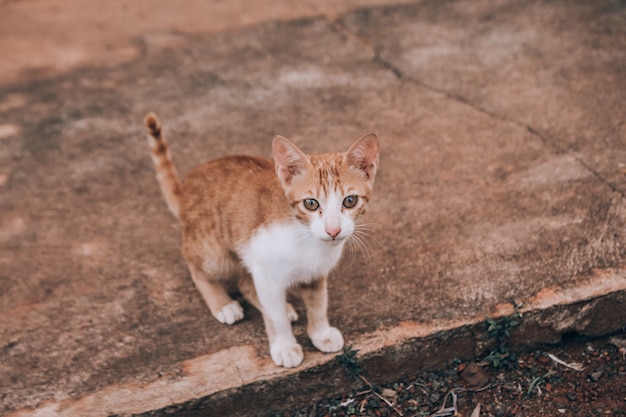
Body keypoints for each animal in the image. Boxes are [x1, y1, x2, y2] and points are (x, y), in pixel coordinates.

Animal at [144, 114, 378, 368]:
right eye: (311, 203)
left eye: (350, 201)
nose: (333, 230)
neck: (307, 238)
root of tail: (186, 187)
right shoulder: (264, 269)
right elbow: (274, 317)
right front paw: (285, 347)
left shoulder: (314, 274)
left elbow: (318, 303)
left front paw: (320, 333)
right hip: (213, 251)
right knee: (194, 262)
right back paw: (222, 304)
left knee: (245, 283)